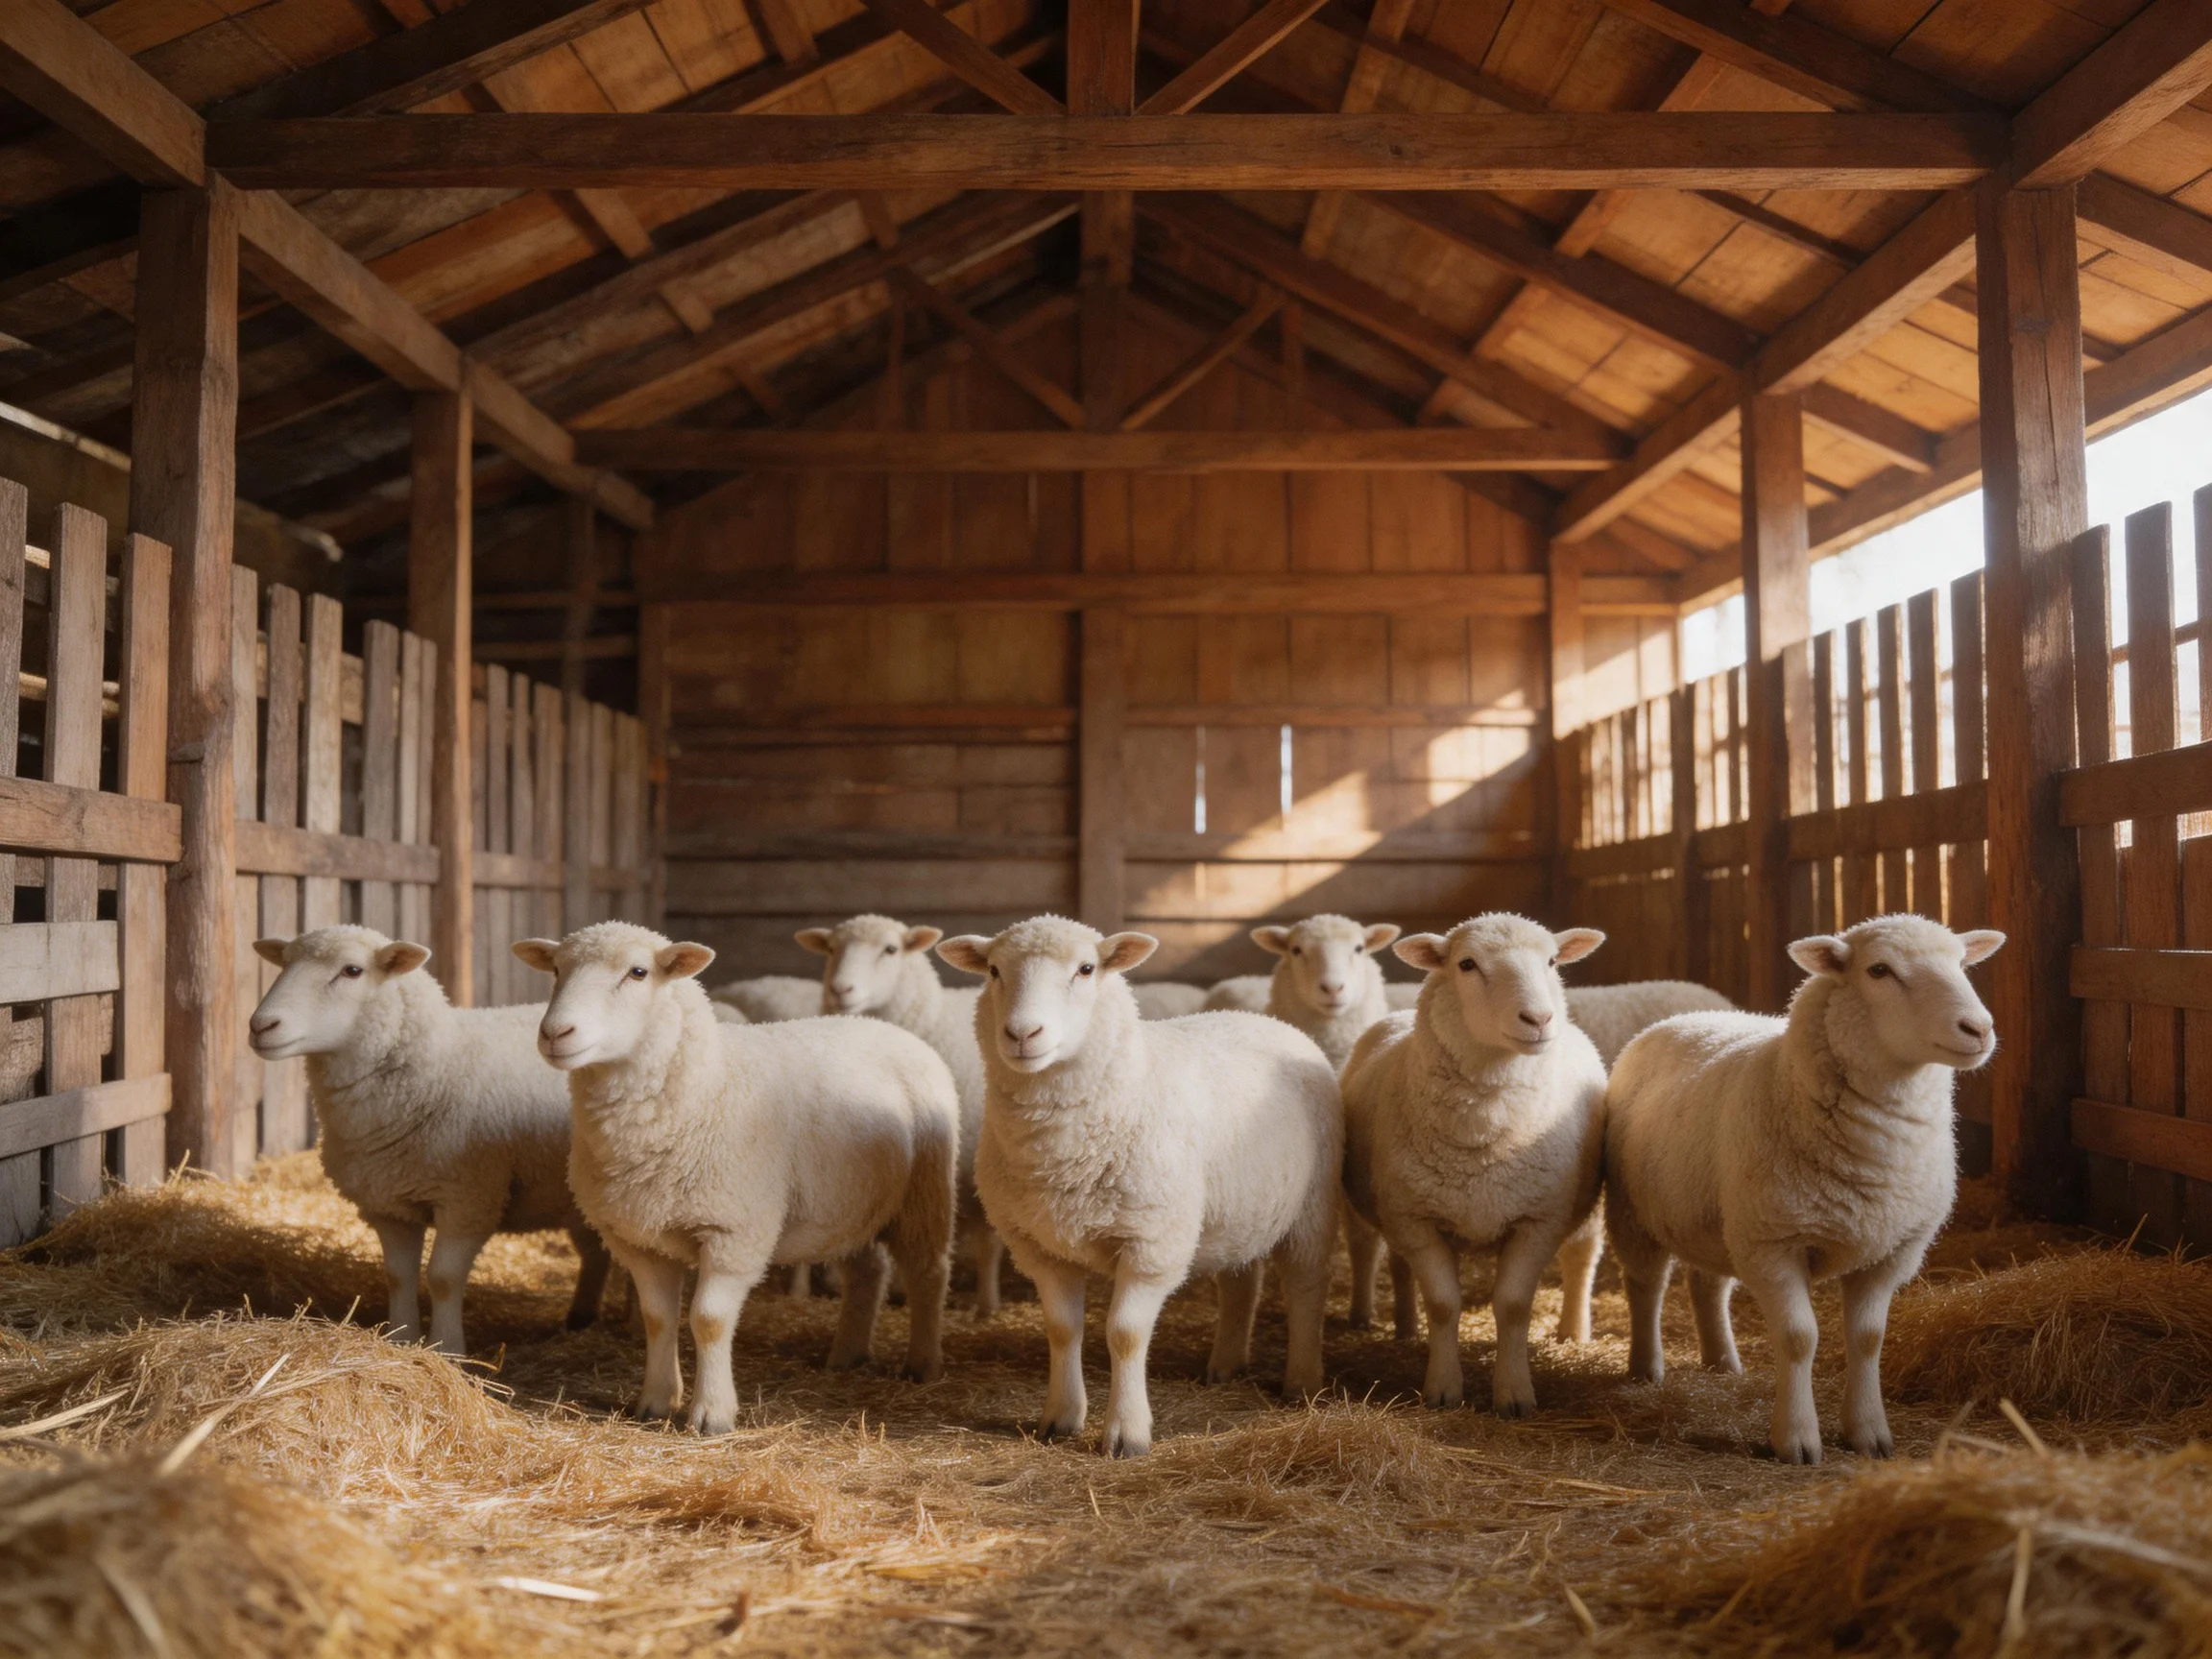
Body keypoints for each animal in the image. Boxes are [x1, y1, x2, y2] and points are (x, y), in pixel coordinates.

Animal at [245, 927, 609, 1357]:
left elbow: (443, 1278)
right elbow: (398, 1275)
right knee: (596, 1254)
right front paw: (401, 1338)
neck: (439, 1067)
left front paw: (447, 1349)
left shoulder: (468, 1199)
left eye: (352, 970)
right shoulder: (389, 1204)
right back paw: (581, 1319)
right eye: (284, 962)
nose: (261, 1026)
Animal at [515, 923, 959, 1435]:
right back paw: (847, 1355)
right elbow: (658, 1317)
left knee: (928, 1272)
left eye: (638, 972)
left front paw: (712, 1415)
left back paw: (923, 1364)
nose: (555, 1033)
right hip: (851, 1204)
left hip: (925, 1191)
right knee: (868, 1273)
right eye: (555, 970)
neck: (704, 1086)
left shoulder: (734, 1231)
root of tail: (892, 1031)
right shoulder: (637, 1238)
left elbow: (707, 1319)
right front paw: (655, 1402)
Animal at [937, 916, 1341, 1458]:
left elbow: (1125, 1334)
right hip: (1237, 1210)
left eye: (1086, 969)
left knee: (1306, 1286)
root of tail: (1263, 1019)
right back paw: (1225, 1364)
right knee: (1240, 1283)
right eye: (995, 971)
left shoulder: (1152, 1242)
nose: (1022, 1033)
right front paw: (1060, 1418)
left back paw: (1302, 1382)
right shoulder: (1041, 1247)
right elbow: (1062, 1330)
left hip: (1313, 1203)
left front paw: (1126, 1434)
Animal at [1339, 914, 1608, 1416]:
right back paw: (1403, 1328)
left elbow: (1514, 1305)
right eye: (1467, 964)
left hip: (1587, 1206)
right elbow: (1444, 1304)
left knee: (1581, 1259)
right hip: (1387, 1206)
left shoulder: (1538, 1218)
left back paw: (1573, 1333)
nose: (1539, 1019)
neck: (1484, 1133)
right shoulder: (1416, 1217)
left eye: (1552, 961)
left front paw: (1515, 1393)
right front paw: (1443, 1388)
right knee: (1384, 1256)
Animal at [1604, 915, 2003, 1463]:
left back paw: (1722, 1361)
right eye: (1879, 970)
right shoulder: (1774, 1245)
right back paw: (1646, 1368)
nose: (1978, 1029)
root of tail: (1689, 1016)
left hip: (1719, 1217)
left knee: (1707, 1286)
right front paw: (1795, 1438)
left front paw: (1869, 1432)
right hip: (1635, 1214)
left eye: (1963, 964)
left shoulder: (1892, 1249)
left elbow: (1869, 1338)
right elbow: (1798, 1338)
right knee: (1646, 1286)